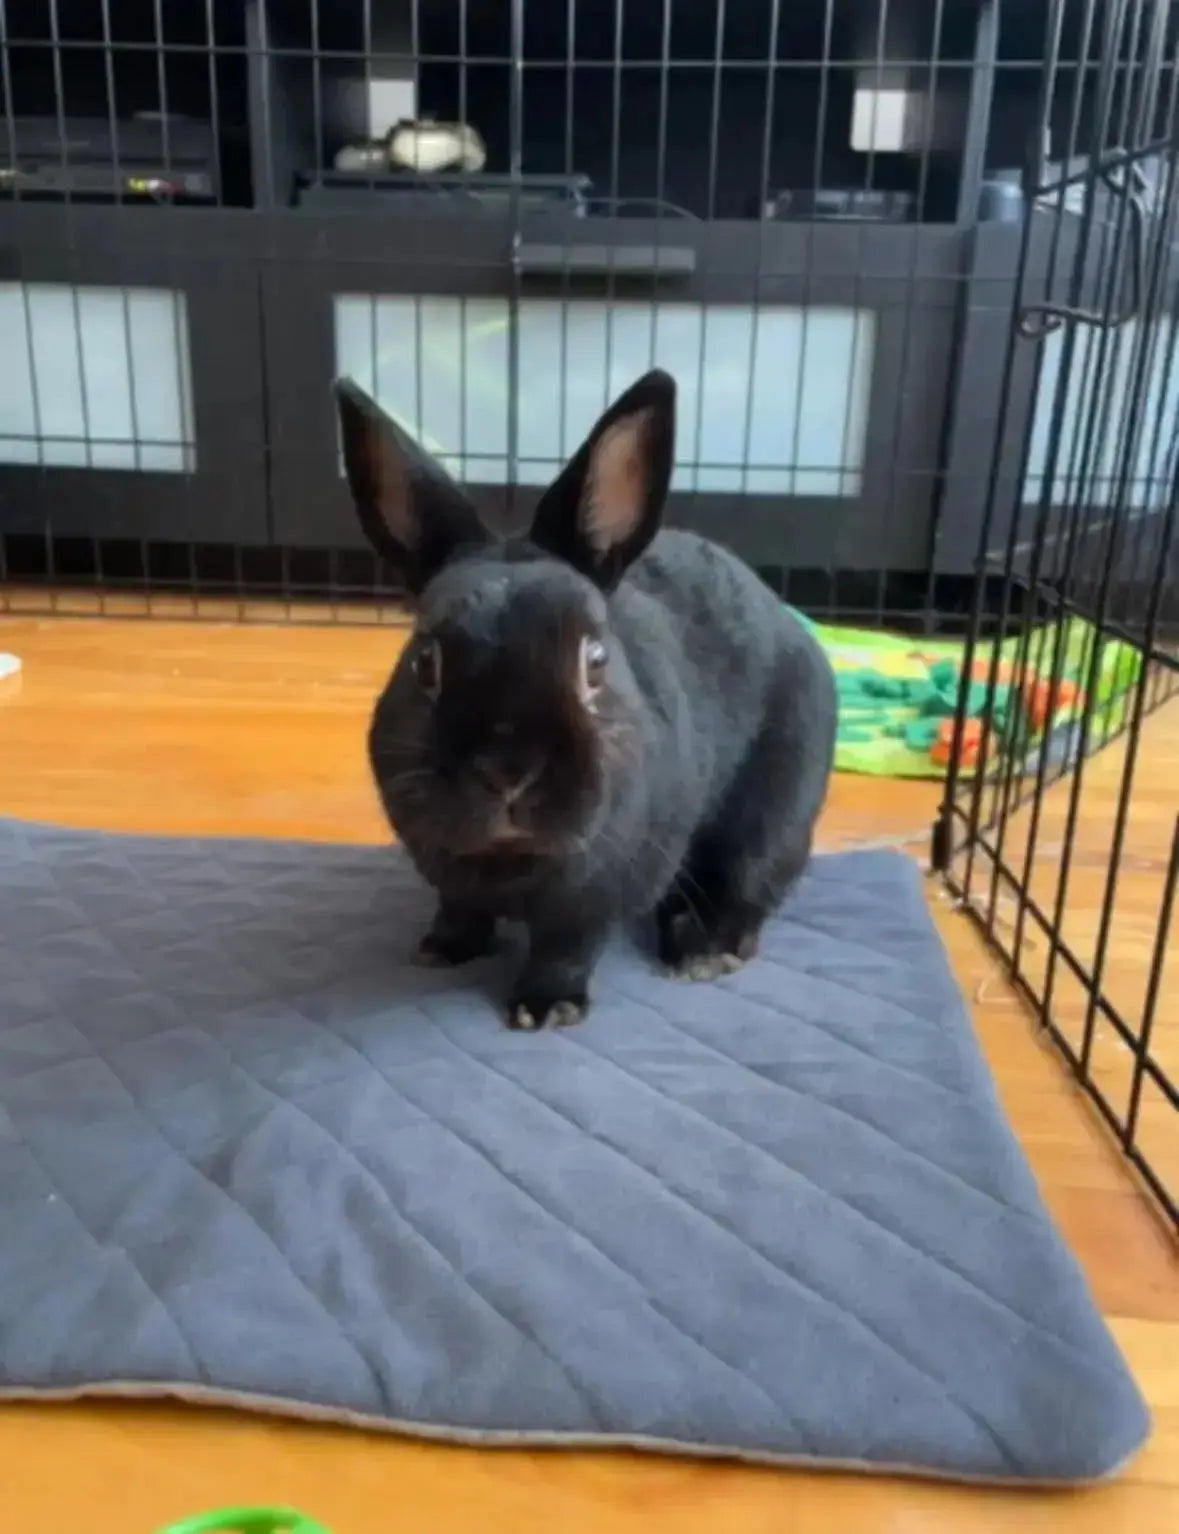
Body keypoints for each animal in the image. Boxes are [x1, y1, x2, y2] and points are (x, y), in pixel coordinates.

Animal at [335, 369, 838, 1030]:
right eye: (425, 663)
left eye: (594, 663)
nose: (509, 771)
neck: (510, 865)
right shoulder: (451, 879)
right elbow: (460, 910)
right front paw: (441, 951)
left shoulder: (598, 893)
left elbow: (566, 947)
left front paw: (545, 1009)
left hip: (777, 810)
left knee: (751, 882)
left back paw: (704, 952)